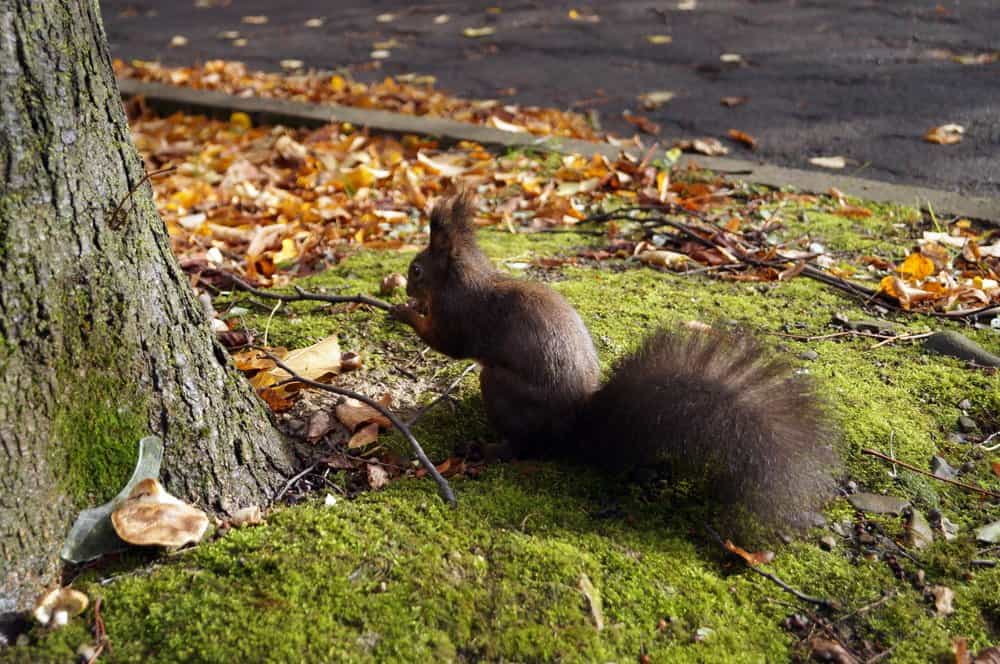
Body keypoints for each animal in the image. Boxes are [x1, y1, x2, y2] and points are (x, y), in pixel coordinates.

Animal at [394, 189, 840, 532]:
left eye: (416, 270)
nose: (406, 286)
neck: (464, 277)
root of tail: (573, 427)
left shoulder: (459, 315)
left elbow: (447, 343)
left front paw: (404, 312)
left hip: (501, 388)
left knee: (524, 446)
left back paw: (488, 449)